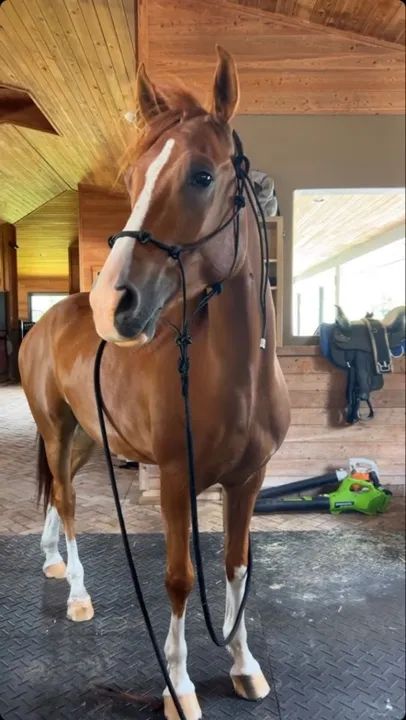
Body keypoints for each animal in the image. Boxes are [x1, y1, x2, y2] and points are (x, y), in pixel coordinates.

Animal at [19, 46, 290, 720]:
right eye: (134, 179)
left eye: (202, 176)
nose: (111, 302)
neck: (234, 378)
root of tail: (48, 321)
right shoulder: (174, 480)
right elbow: (179, 578)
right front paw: (181, 686)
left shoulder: (249, 480)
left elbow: (236, 568)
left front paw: (244, 666)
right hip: (56, 430)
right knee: (67, 502)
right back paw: (78, 594)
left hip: (87, 438)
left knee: (58, 500)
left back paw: (53, 564)